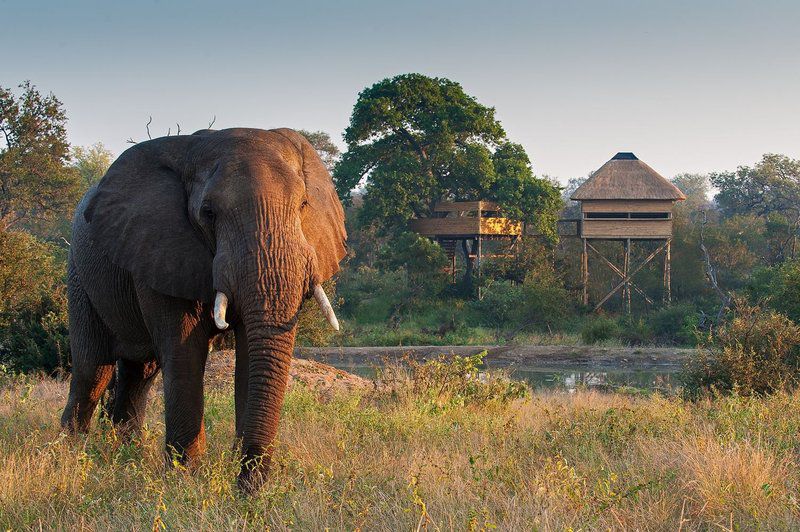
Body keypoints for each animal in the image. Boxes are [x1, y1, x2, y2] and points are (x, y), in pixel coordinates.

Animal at [61, 127, 348, 492]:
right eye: (208, 213)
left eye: (303, 205)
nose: (247, 486)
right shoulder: (161, 248)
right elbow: (185, 353)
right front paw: (187, 479)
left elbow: (249, 357)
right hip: (79, 277)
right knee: (92, 371)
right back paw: (70, 456)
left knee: (140, 375)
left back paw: (126, 459)